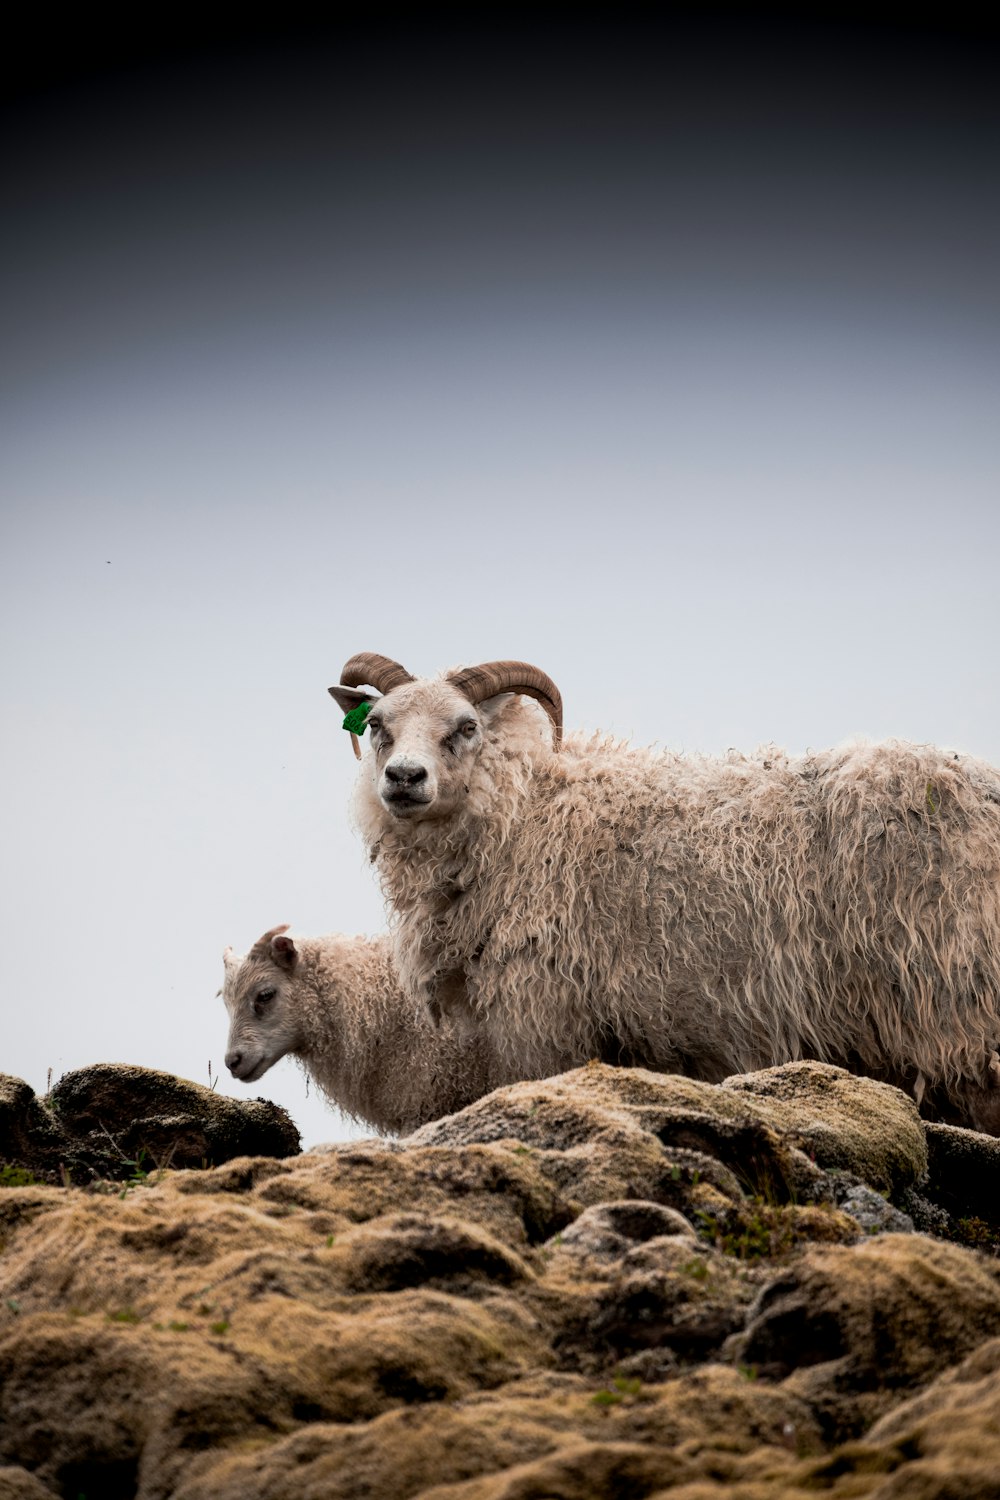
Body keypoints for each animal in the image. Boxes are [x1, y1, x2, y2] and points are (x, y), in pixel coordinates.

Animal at [328, 651, 1000, 1128]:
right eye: (378, 724)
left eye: (466, 726)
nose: (404, 778)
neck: (524, 809)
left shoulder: (545, 1022)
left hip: (960, 1010)